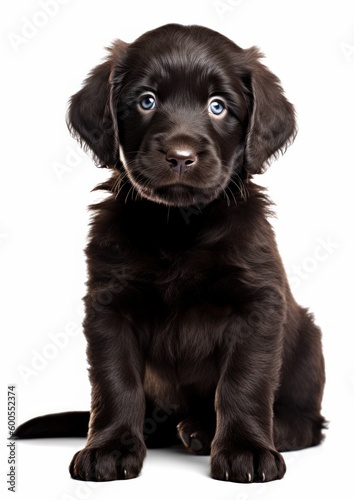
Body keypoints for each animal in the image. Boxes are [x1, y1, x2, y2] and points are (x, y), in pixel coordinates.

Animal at [16, 24, 326, 484]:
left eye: (218, 106)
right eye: (147, 100)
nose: (180, 157)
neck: (180, 227)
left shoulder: (257, 303)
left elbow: (244, 381)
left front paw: (246, 449)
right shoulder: (108, 306)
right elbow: (114, 382)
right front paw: (109, 446)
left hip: (308, 339)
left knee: (310, 422)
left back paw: (243, 429)